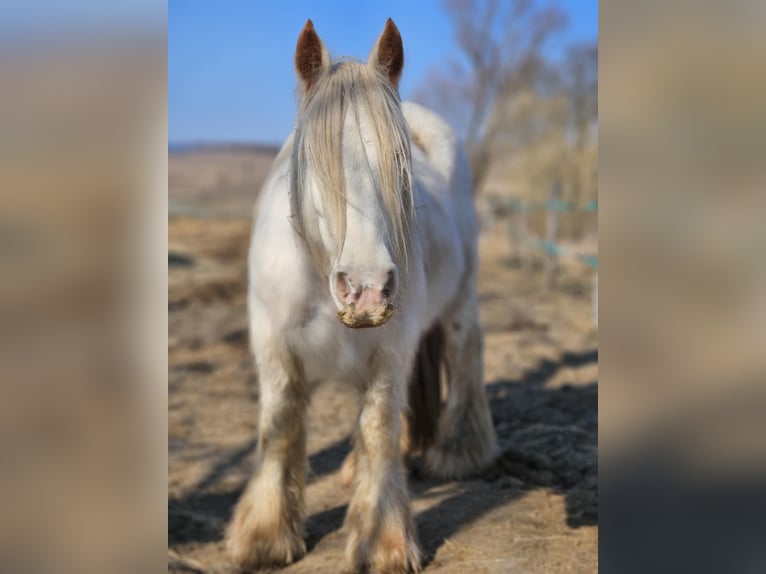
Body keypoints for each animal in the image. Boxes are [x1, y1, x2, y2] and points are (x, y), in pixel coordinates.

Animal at [226, 18, 497, 573]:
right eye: (312, 160)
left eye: (397, 160)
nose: (367, 289)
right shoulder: (275, 350)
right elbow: (280, 429)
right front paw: (265, 538)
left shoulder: (386, 356)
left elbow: (377, 430)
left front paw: (382, 542)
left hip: (460, 304)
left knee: (465, 357)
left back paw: (455, 454)